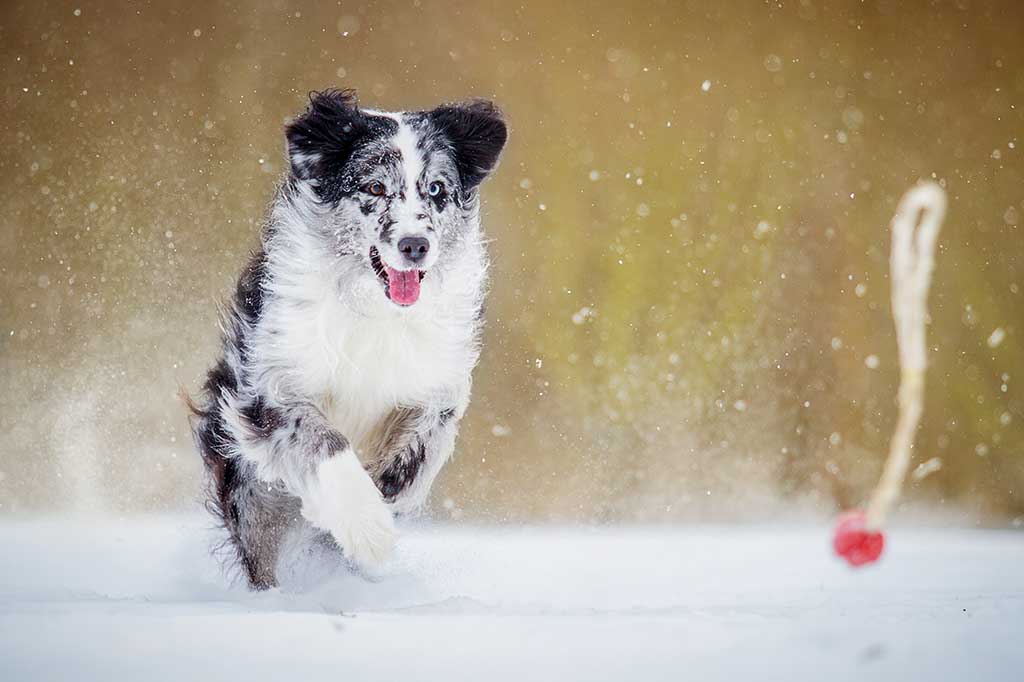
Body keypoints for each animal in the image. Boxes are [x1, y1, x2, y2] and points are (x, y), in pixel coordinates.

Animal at [188, 87, 507, 585]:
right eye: (374, 187)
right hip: (251, 492)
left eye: (436, 189)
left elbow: (427, 436)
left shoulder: (437, 379)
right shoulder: (268, 385)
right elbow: (325, 442)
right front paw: (369, 529)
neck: (374, 308)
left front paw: (392, 488)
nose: (415, 245)